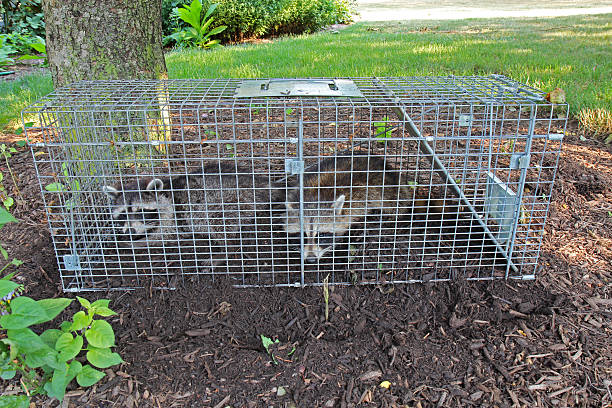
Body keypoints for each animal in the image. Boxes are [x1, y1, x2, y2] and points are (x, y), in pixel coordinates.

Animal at [104, 163, 276, 268]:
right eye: (123, 215)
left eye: (140, 211)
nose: (130, 232)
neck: (166, 193)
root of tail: (260, 184)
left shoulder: (172, 217)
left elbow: (162, 237)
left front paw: (135, 243)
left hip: (230, 201)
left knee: (217, 222)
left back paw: (226, 251)